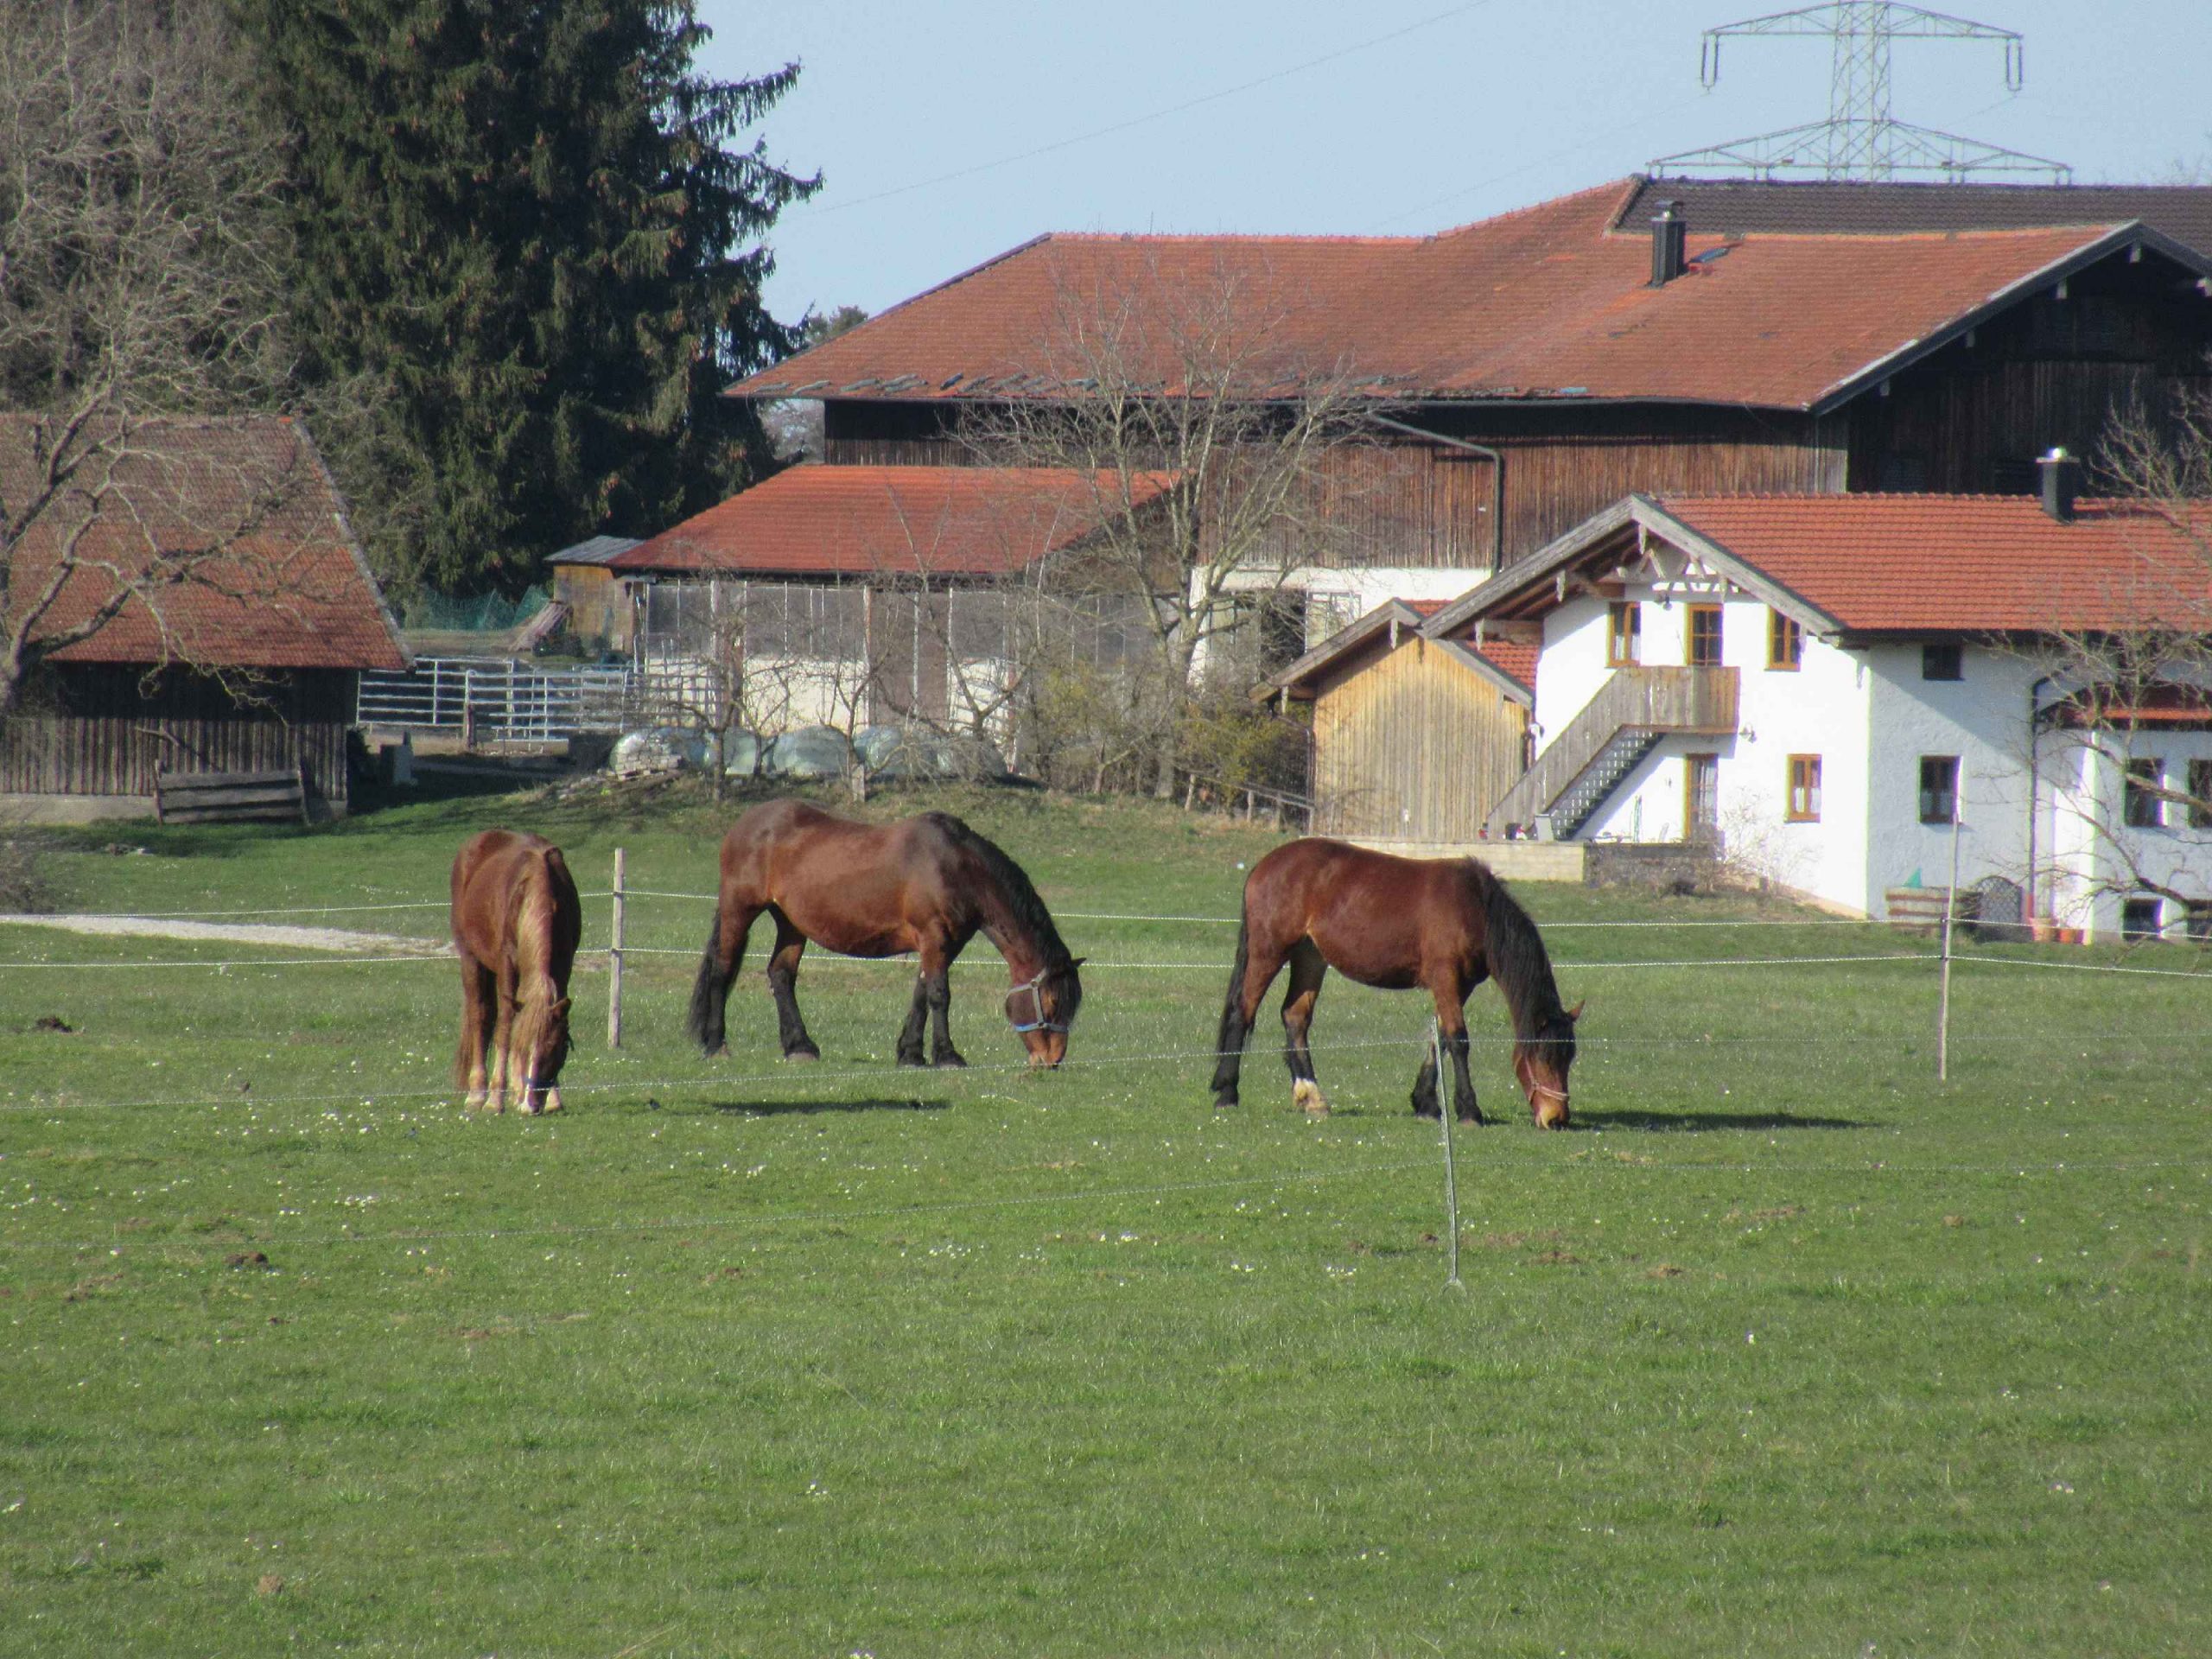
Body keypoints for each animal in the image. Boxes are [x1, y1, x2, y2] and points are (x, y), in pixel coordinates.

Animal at [450, 829, 582, 1114]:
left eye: (556, 1048)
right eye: (521, 1049)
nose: (530, 1105)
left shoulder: (564, 965)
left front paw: (554, 1099)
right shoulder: (507, 966)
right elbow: (505, 1026)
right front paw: (495, 1099)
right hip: (471, 960)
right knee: (481, 1017)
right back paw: (477, 1093)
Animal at [686, 801, 1084, 1070]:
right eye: (1051, 1002)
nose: (1050, 1060)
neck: (955, 866)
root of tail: (747, 822)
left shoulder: (945, 945)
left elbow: (922, 994)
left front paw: (910, 1053)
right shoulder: (933, 937)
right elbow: (940, 995)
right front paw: (947, 1055)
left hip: (791, 924)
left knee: (781, 975)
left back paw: (799, 1046)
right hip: (740, 909)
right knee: (722, 970)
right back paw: (716, 1044)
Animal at [1210, 839, 1579, 1128]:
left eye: (1570, 1058)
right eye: (1545, 1057)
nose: (1556, 1118)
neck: (1475, 908)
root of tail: (1264, 865)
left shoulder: (1459, 986)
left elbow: (1438, 1039)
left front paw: (1425, 1103)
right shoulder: (1445, 978)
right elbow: (1458, 1039)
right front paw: (1469, 1110)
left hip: (1310, 957)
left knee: (1295, 1017)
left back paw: (1312, 1096)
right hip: (1269, 952)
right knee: (1243, 1011)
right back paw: (1227, 1092)